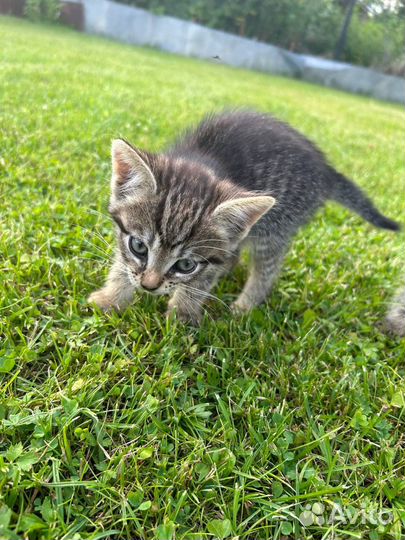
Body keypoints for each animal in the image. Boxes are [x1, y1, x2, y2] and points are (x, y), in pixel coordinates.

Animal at [87, 107, 398, 322]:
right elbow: (122, 266)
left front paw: (181, 316)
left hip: (274, 230)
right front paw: (110, 299)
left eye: (185, 265)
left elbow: (199, 282)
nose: (149, 286)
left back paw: (244, 307)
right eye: (139, 247)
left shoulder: (210, 259)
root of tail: (326, 171)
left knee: (266, 270)